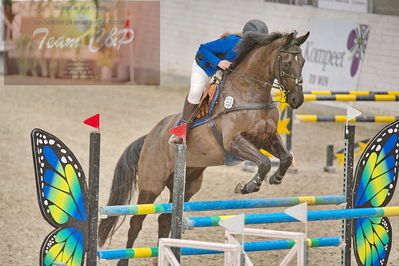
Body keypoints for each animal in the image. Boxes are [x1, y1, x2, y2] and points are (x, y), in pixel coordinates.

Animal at [99, 30, 310, 264]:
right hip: (151, 184)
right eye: (287, 62)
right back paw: (124, 260)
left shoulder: (267, 138)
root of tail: (149, 137)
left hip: (188, 183)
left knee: (165, 218)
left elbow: (286, 157)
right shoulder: (234, 142)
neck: (250, 91)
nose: (297, 99)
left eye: (303, 61)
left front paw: (276, 178)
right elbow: (263, 162)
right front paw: (247, 186)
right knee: (136, 222)